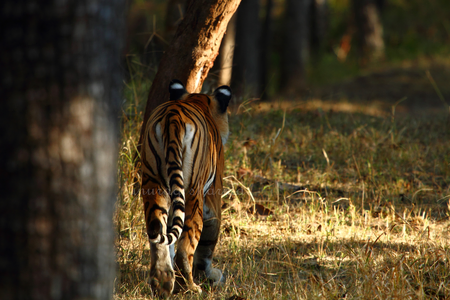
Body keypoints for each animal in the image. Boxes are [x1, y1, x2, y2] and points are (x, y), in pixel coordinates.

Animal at [141, 78, 232, 296]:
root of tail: (172, 116)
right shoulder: (213, 197)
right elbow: (208, 241)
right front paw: (210, 275)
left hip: (154, 184)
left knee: (156, 229)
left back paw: (163, 284)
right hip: (193, 193)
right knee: (186, 245)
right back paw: (191, 287)